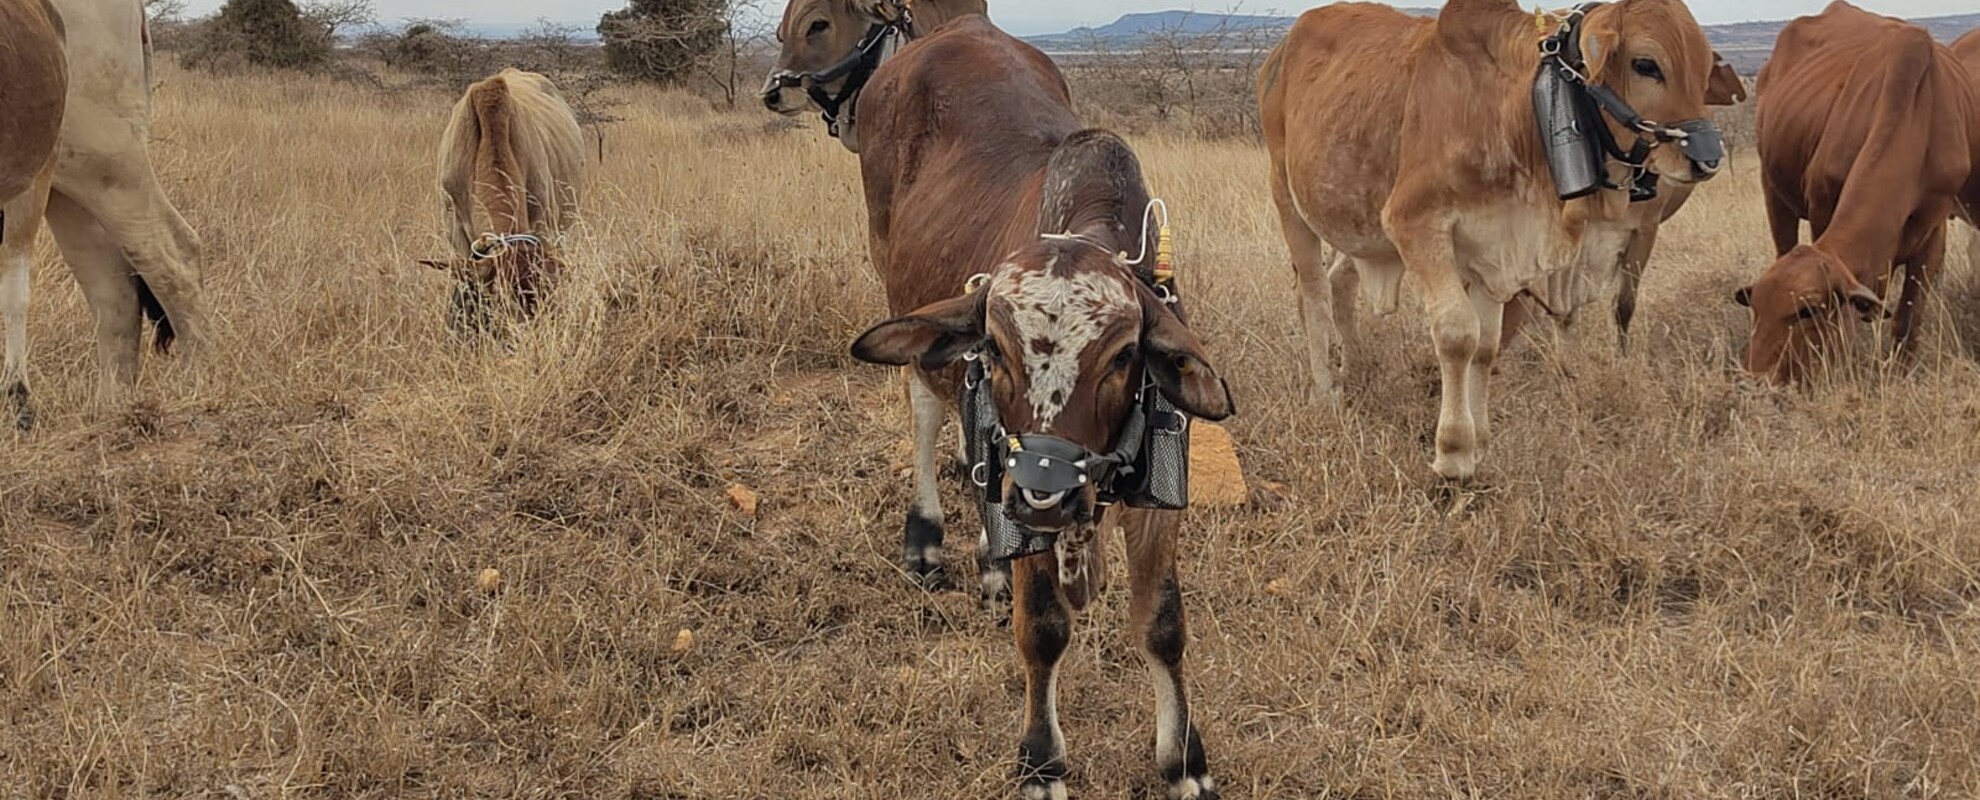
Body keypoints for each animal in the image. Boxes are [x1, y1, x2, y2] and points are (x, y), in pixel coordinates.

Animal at [2, 0, 207, 429]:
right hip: (69, 187)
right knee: (113, 288)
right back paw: (111, 406)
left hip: (105, 164)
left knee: (172, 252)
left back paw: (204, 382)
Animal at [766, 4, 1234, 797]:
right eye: (999, 347)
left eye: (1121, 357)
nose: (1044, 495)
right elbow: (1042, 627)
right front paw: (1041, 760)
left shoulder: (1157, 494)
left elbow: (1163, 623)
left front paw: (1183, 759)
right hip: (898, 285)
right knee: (929, 406)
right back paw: (927, 540)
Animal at [1259, 0, 1724, 481]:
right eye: (1646, 64)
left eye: (1704, 67)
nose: (1707, 158)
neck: (1507, 112)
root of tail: (1280, 53)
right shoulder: (1415, 226)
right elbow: (1457, 335)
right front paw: (1454, 453)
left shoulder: (1494, 251)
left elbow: (1485, 346)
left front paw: (1480, 440)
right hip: (1287, 195)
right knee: (1313, 294)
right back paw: (1326, 394)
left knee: (1339, 283)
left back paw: (1356, 370)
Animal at [1733, 2, 1978, 383]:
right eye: (1757, 307)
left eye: (1806, 312)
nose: (1754, 378)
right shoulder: (1822, 209)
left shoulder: (1933, 233)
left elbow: (1907, 318)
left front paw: (1900, 371)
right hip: (1771, 188)